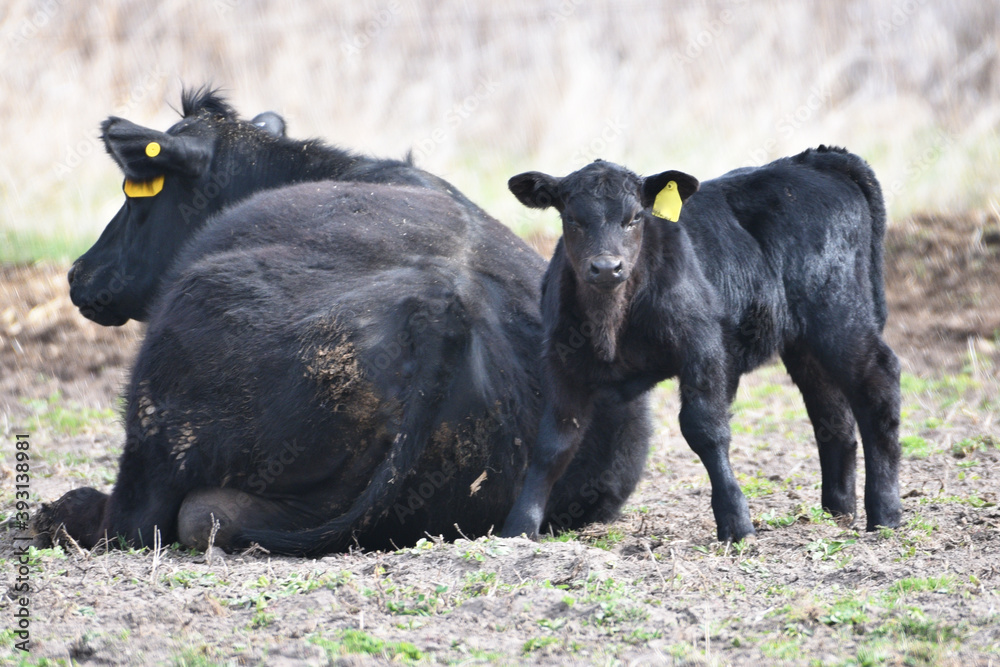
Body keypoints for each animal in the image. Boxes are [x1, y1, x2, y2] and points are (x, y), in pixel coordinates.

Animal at [500, 149, 902, 543]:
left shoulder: (703, 347)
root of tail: (812, 159)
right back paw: (837, 512)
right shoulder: (561, 363)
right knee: (832, 414)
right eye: (572, 219)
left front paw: (736, 522)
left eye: (634, 218)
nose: (606, 267)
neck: (610, 324)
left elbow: (704, 428)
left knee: (878, 384)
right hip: (805, 345)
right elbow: (553, 445)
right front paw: (519, 527)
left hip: (839, 315)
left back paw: (884, 513)